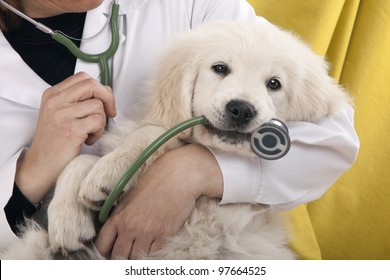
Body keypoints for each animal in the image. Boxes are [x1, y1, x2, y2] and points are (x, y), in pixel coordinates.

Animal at [0, 20, 350, 260]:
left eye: (274, 84)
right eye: (220, 68)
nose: (241, 109)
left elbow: (152, 132)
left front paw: (108, 173)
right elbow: (81, 158)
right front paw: (69, 216)